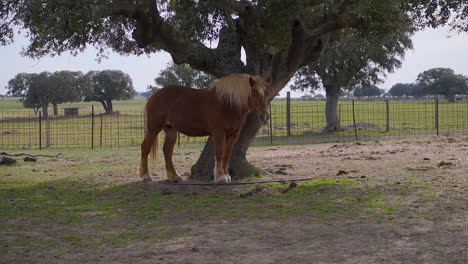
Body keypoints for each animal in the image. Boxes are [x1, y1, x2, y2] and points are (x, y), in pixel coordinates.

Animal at [138, 73, 270, 183]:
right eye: (255, 93)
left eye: (267, 93)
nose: (264, 117)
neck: (228, 104)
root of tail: (153, 96)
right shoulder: (219, 133)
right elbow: (220, 153)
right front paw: (220, 177)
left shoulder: (233, 135)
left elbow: (227, 155)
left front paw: (226, 175)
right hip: (153, 128)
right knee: (145, 148)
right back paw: (146, 176)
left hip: (171, 130)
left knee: (167, 151)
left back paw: (174, 176)